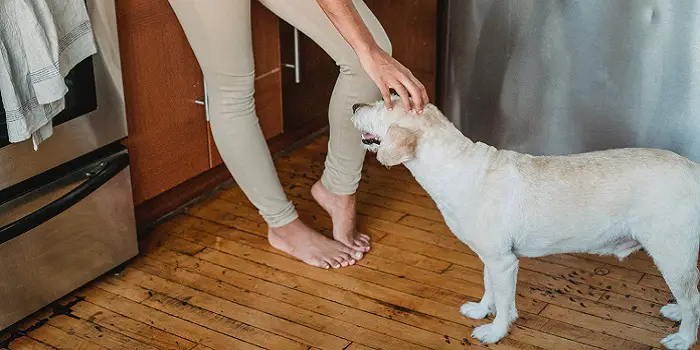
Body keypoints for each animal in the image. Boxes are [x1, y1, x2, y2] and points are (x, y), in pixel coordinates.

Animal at [352, 96, 700, 350]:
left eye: (384, 105)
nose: (354, 106)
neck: (458, 168)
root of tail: (694, 168)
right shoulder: (491, 257)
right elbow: (489, 288)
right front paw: (482, 311)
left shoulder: (504, 262)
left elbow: (505, 302)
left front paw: (495, 331)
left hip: (672, 252)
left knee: (693, 299)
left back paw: (684, 338)